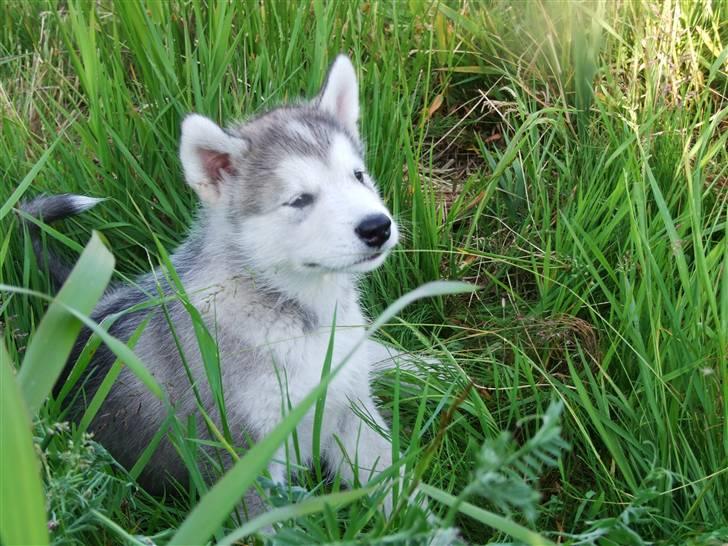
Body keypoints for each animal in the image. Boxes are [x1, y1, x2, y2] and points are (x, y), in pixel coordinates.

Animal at [22, 55, 405, 515]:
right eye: (299, 200)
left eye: (358, 175)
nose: (378, 227)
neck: (298, 310)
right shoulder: (242, 455)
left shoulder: (351, 409)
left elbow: (398, 482)